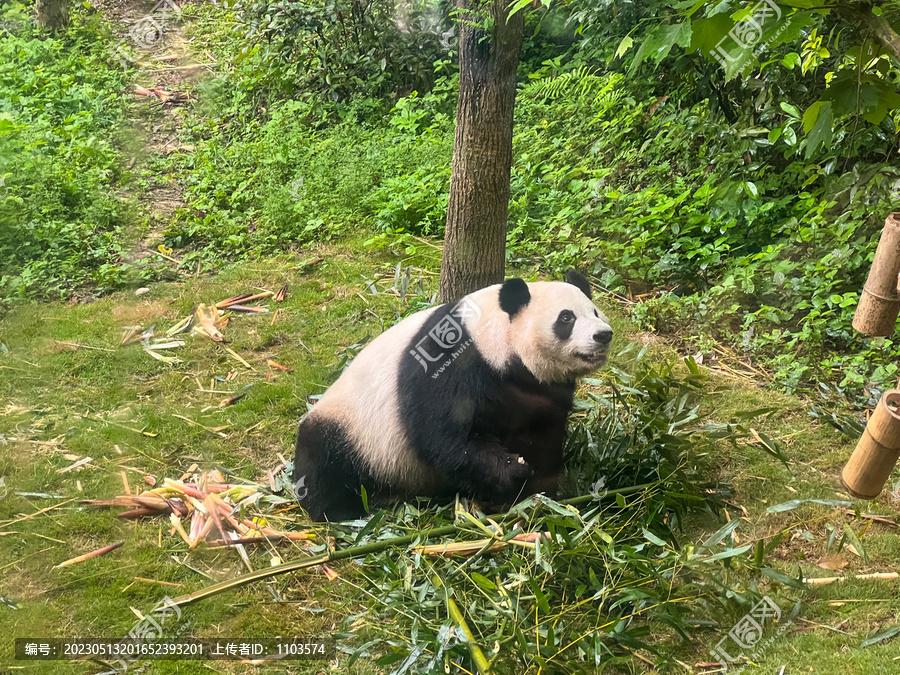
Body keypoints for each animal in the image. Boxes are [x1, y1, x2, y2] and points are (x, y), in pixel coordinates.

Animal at [294, 270, 612, 524]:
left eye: (595, 312)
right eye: (566, 318)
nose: (603, 334)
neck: (495, 337)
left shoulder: (539, 388)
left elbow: (542, 432)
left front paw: (539, 492)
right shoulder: (448, 363)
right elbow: (443, 435)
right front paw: (512, 471)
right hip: (353, 428)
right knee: (323, 462)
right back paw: (340, 511)